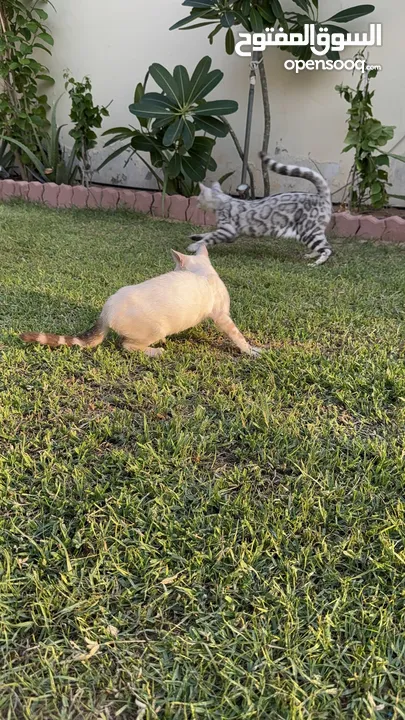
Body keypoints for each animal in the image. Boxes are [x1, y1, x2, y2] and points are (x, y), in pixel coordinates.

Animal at [20, 246, 262, 358]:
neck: (202, 272)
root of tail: (106, 311)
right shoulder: (222, 317)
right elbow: (238, 337)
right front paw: (251, 351)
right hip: (155, 329)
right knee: (127, 346)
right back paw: (155, 351)